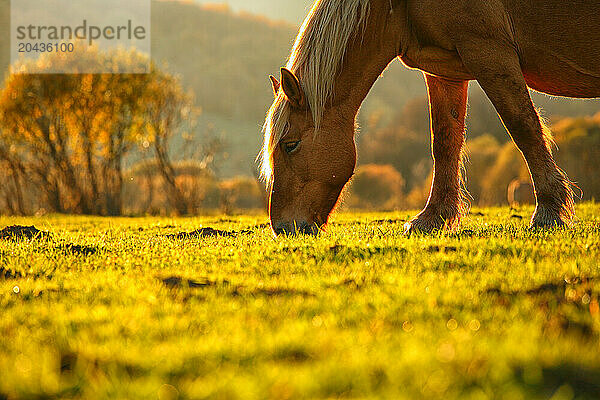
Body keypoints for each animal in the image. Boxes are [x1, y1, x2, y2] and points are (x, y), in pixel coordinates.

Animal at [260, 0, 596, 236]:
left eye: (290, 144)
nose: (284, 228)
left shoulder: (489, 52)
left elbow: (523, 127)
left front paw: (549, 211)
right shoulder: (444, 70)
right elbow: (445, 142)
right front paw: (433, 217)